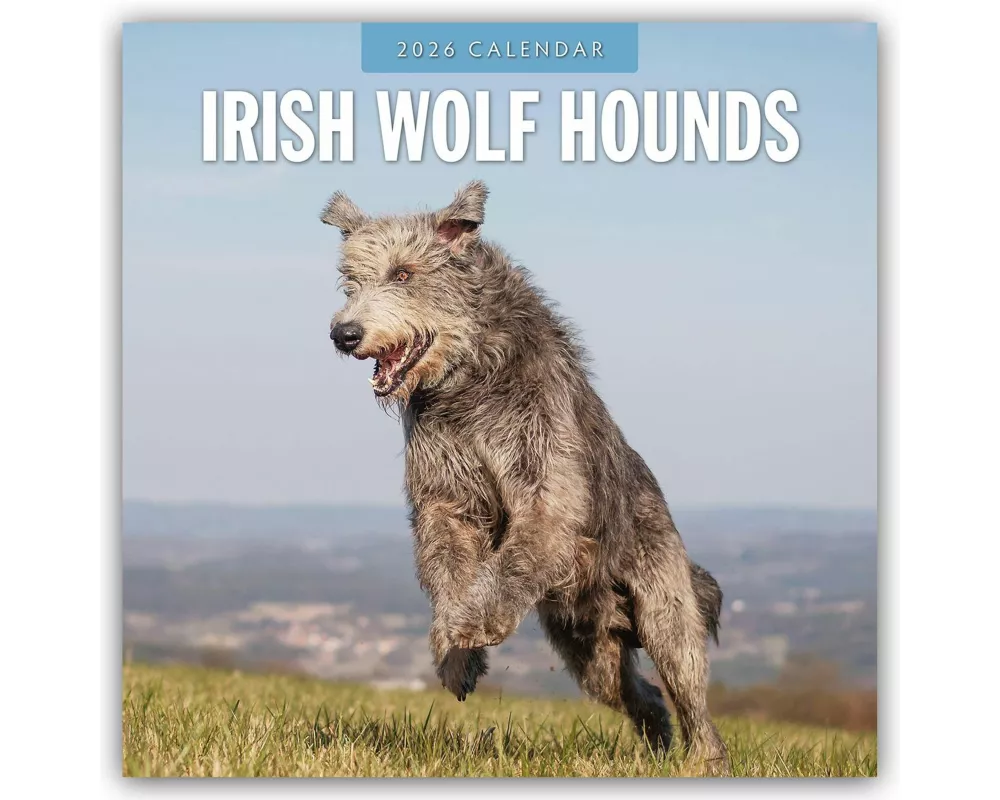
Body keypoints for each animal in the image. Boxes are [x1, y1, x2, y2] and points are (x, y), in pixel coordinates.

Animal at [322, 180, 730, 773]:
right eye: (350, 282)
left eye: (403, 274)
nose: (344, 333)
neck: (468, 382)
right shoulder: (445, 497)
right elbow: (448, 570)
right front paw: (455, 657)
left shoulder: (545, 487)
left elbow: (514, 559)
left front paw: (475, 625)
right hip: (589, 648)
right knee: (644, 695)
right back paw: (655, 750)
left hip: (663, 611)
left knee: (691, 695)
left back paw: (703, 761)